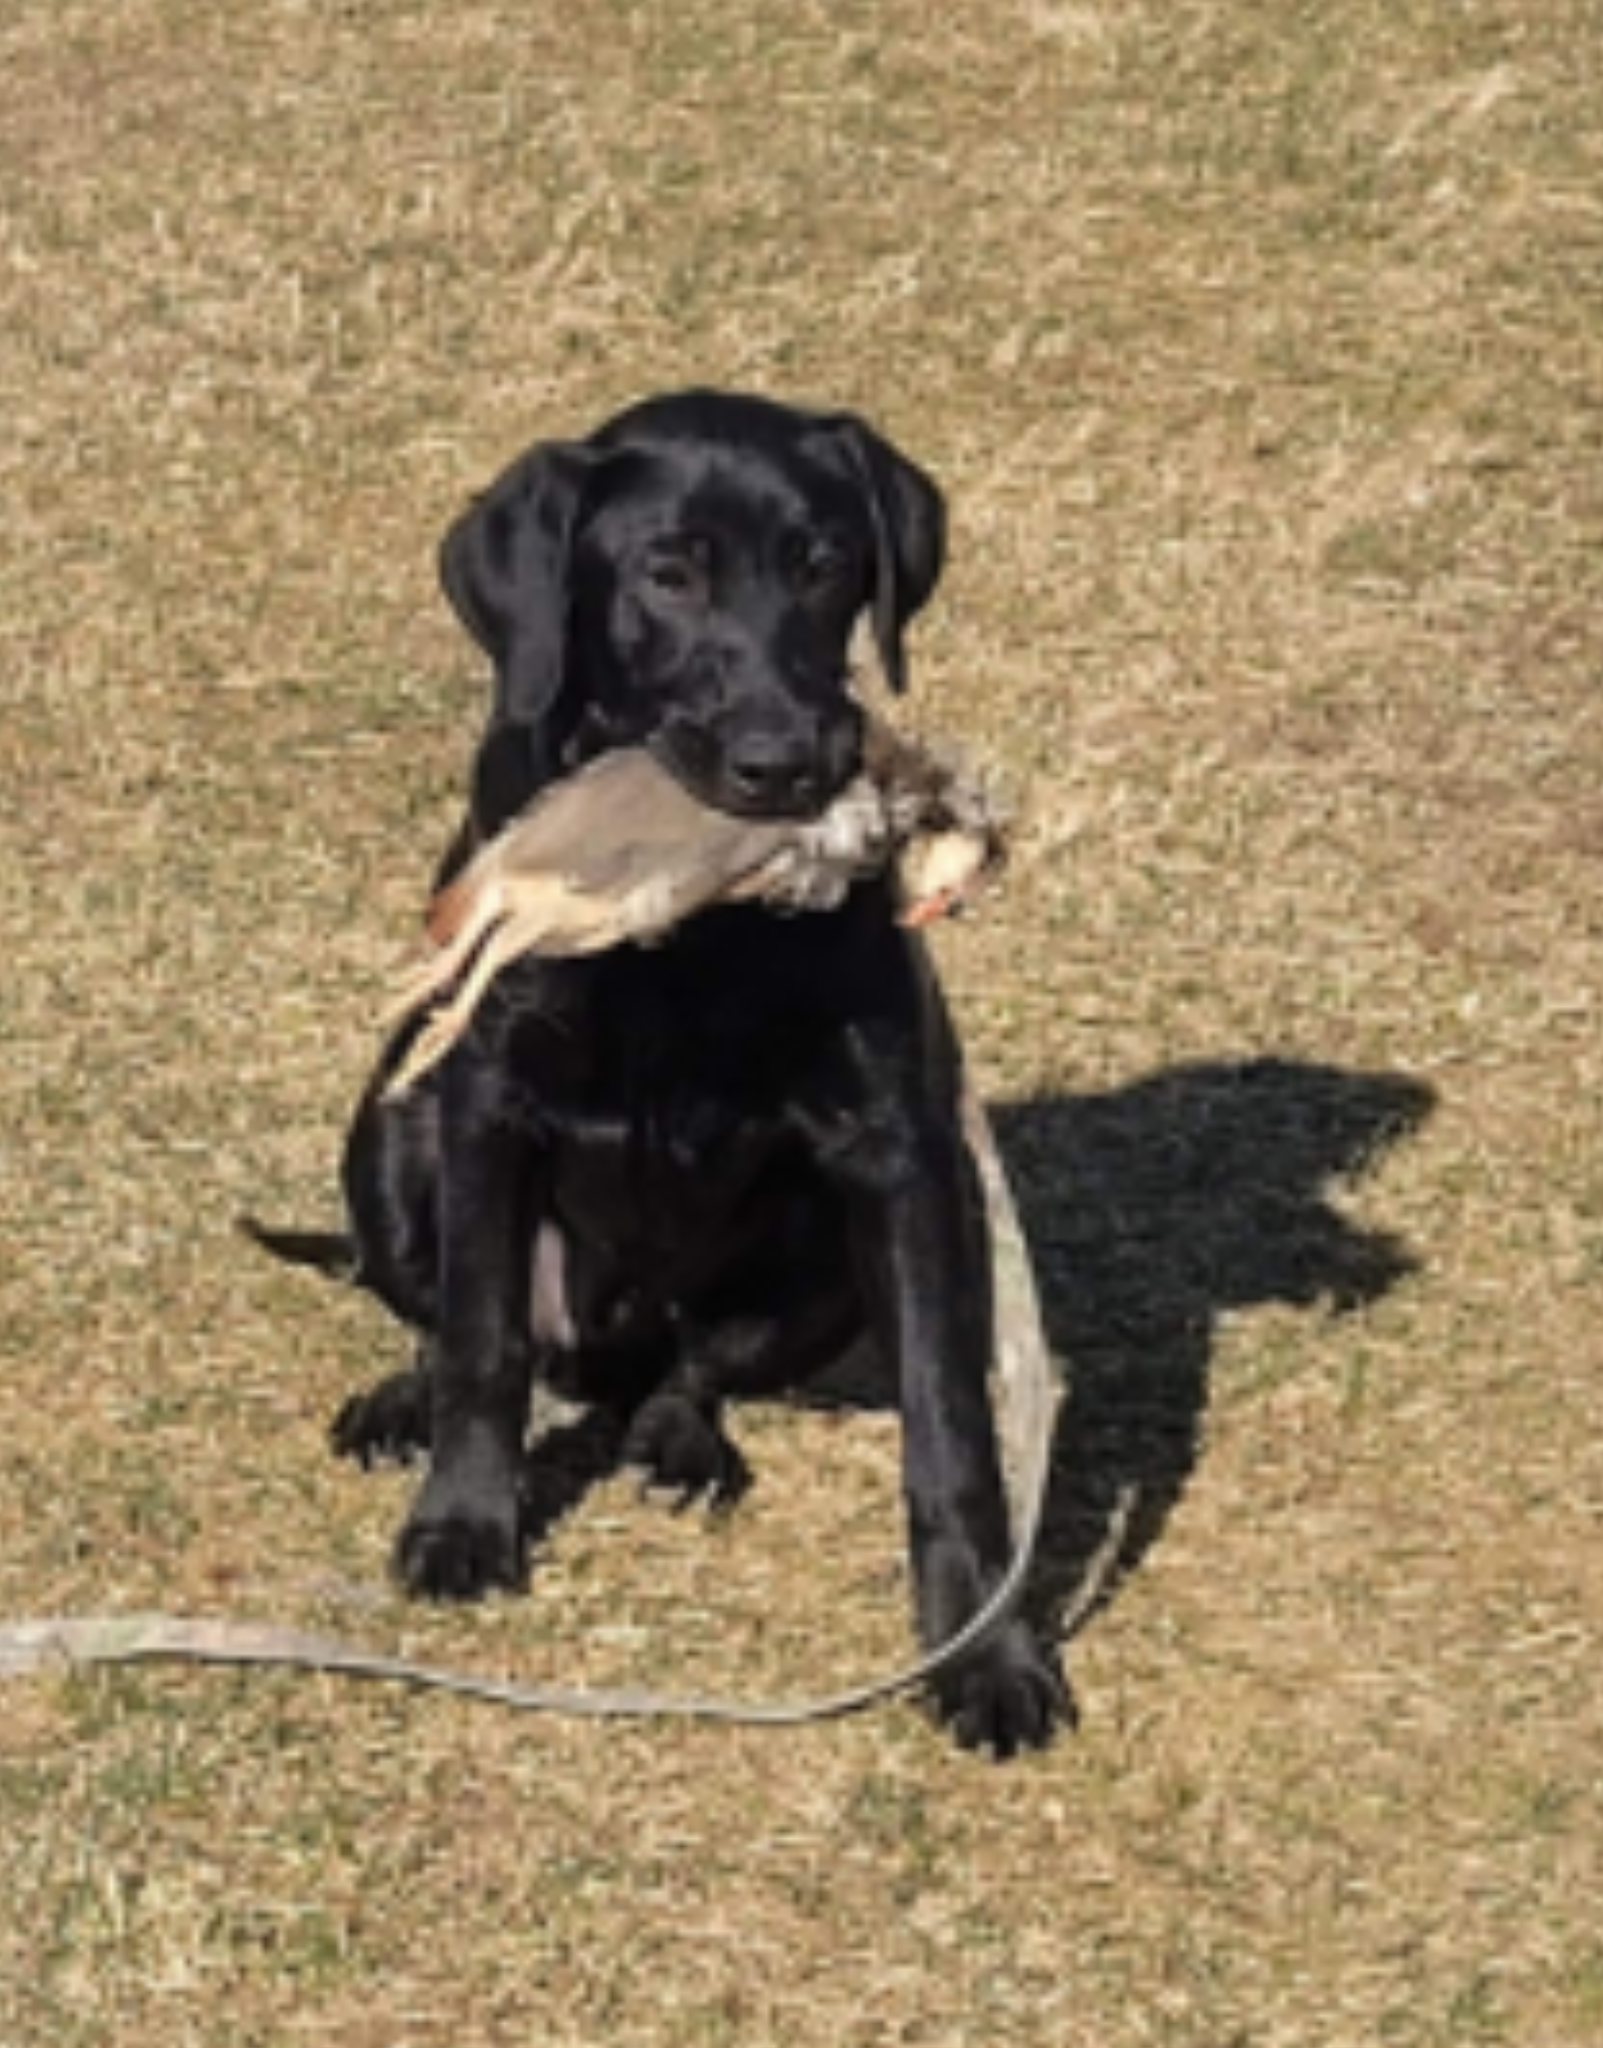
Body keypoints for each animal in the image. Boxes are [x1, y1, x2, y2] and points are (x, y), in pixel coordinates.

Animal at [337, 391, 1064, 1753]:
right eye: (668, 574)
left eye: (825, 564)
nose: (788, 763)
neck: (699, 922)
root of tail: (602, 1354)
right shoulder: (485, 1106)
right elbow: (480, 1340)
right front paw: (463, 1520)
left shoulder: (897, 1154)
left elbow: (950, 1424)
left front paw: (986, 1649)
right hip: (388, 1140)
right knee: (448, 1309)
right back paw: (400, 1405)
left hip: (822, 1251)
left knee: (695, 1358)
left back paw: (677, 1435)